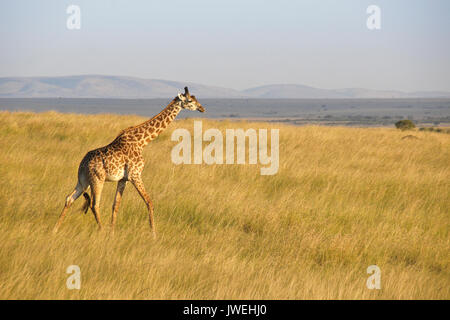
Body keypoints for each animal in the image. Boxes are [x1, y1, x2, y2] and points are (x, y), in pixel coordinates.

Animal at [53, 86, 206, 236]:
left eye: (195, 98)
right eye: (190, 101)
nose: (202, 108)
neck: (141, 142)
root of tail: (82, 164)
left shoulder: (123, 179)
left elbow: (115, 205)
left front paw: (112, 233)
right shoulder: (135, 175)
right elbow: (149, 202)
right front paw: (154, 234)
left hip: (83, 181)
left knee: (69, 199)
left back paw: (55, 229)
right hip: (97, 179)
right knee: (94, 204)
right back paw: (101, 230)